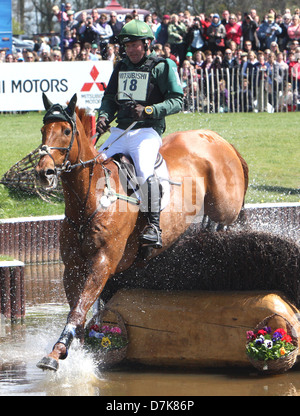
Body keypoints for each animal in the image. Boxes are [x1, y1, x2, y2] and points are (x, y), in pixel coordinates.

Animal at [35, 94, 248, 370]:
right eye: (43, 131)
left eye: (66, 131)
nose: (44, 172)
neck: (90, 199)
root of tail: (220, 139)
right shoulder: (72, 266)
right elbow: (77, 308)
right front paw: (73, 351)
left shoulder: (102, 262)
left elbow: (79, 308)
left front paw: (56, 352)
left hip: (225, 207)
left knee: (228, 220)